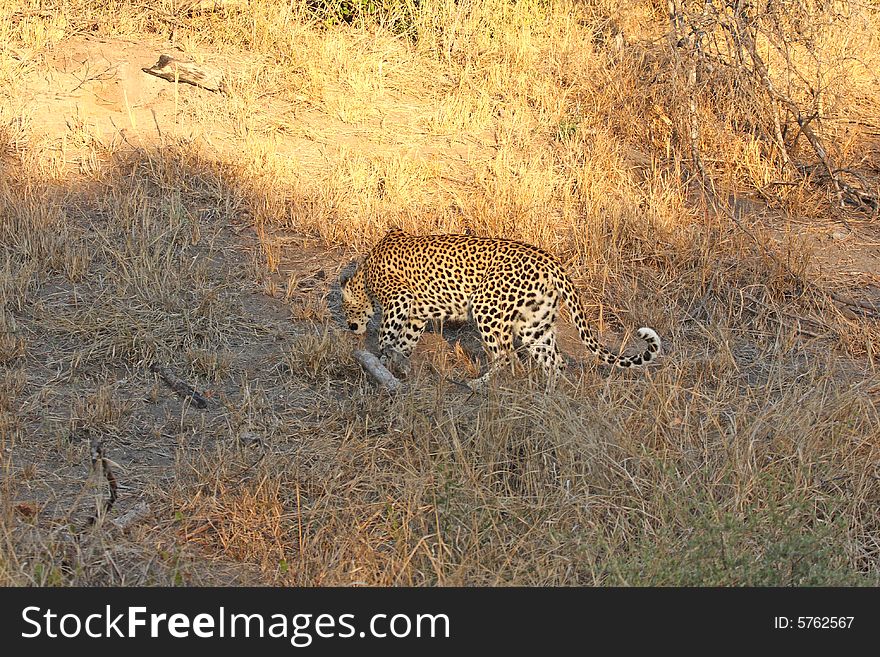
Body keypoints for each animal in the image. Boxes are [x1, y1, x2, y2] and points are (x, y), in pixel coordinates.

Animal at [338, 228, 660, 386]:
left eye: (344, 311)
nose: (350, 327)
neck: (364, 274)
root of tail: (552, 261)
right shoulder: (416, 314)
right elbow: (404, 341)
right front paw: (397, 364)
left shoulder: (399, 299)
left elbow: (386, 334)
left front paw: (381, 359)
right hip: (535, 325)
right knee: (554, 362)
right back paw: (548, 398)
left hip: (487, 307)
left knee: (507, 357)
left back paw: (478, 384)